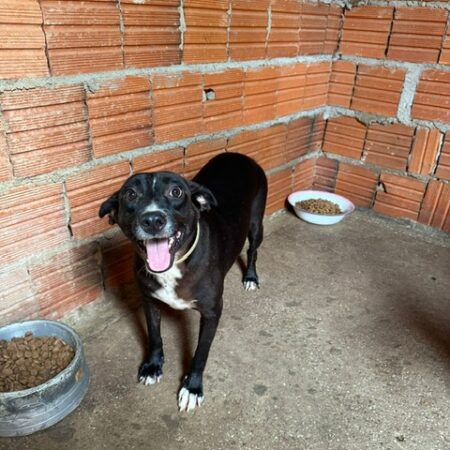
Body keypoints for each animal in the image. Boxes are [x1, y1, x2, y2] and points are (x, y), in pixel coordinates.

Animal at [99, 152, 267, 411]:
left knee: (253, 250)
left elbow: (200, 353)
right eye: (130, 194)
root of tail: (240, 155)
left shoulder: (212, 312)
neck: (173, 267)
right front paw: (152, 367)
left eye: (176, 192)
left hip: (256, 225)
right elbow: (155, 337)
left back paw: (250, 277)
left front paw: (192, 387)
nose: (152, 220)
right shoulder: (149, 301)